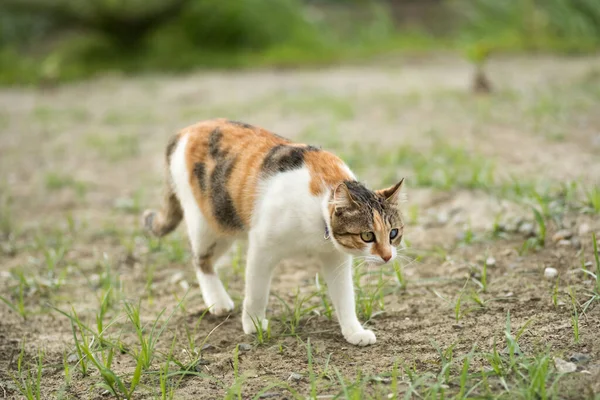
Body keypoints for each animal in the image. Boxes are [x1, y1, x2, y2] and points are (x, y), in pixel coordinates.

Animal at [143, 118, 406, 344]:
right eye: (367, 236)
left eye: (393, 233)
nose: (387, 256)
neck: (318, 210)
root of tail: (186, 130)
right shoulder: (262, 247)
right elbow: (257, 291)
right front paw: (253, 324)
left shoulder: (335, 257)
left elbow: (345, 296)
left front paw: (354, 331)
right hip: (211, 223)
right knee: (200, 260)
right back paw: (218, 301)